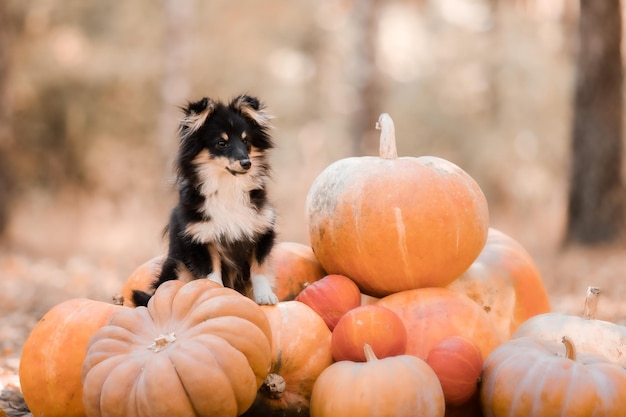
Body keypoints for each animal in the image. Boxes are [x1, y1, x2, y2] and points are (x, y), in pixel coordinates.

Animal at [132, 93, 278, 306]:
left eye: (246, 142)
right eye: (221, 143)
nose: (247, 163)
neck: (228, 188)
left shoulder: (261, 231)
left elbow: (259, 268)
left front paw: (265, 296)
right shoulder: (200, 239)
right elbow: (211, 276)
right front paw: (214, 294)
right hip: (177, 266)